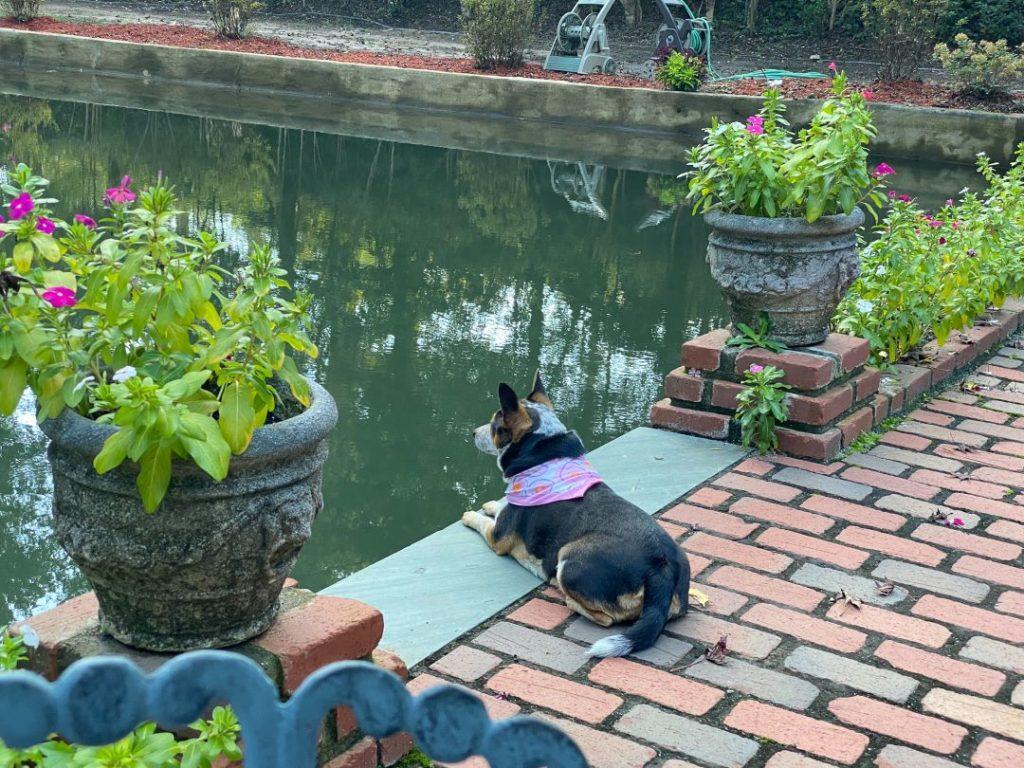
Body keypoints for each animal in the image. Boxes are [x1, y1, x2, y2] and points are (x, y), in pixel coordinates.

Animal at [462, 370, 688, 655]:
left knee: (606, 618)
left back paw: (567, 598)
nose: (472, 432)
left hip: (569, 558)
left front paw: (470, 514)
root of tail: (661, 567)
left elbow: (481, 521)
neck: (543, 452)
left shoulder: (497, 536)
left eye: (494, 424)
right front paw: (492, 503)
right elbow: (498, 505)